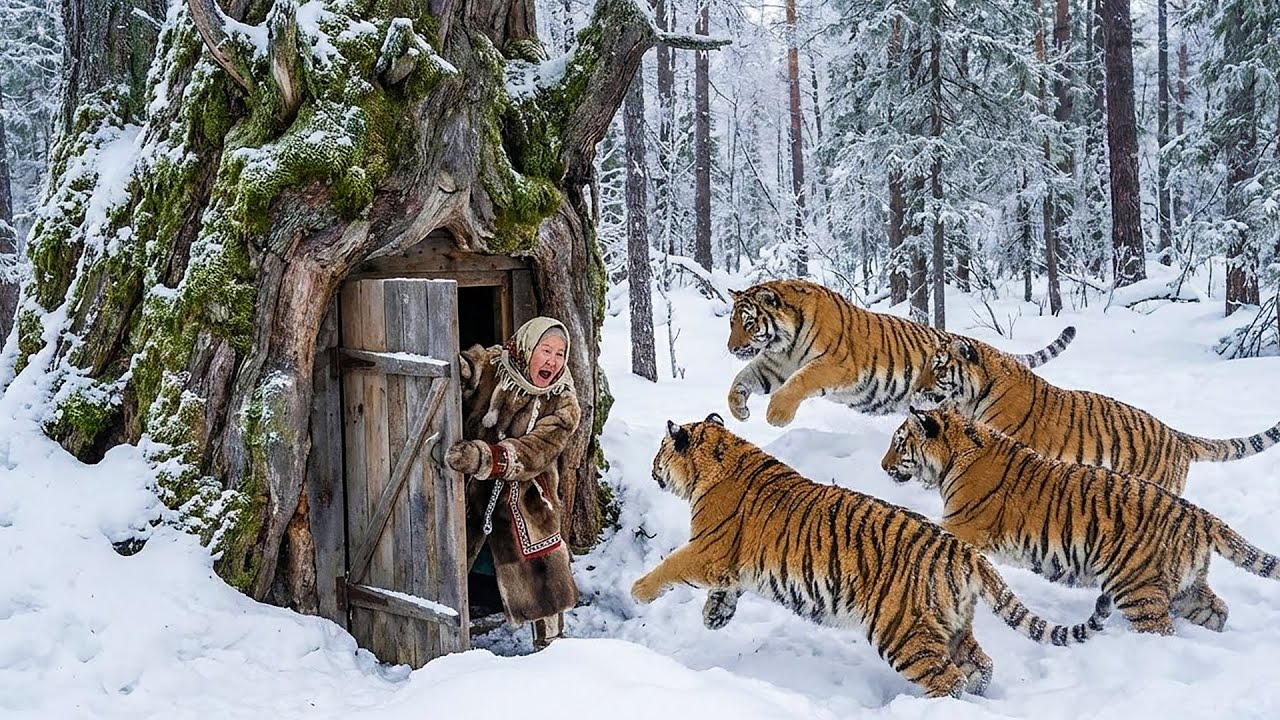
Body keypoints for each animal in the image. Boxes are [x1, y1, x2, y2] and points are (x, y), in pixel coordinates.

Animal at [631, 413, 1110, 699]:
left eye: (658, 451)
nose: (651, 468)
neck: (719, 457)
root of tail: (962, 551)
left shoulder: (707, 549)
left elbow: (671, 565)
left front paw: (637, 591)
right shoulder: (729, 564)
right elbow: (725, 591)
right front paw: (715, 616)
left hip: (902, 631)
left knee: (948, 680)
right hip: (952, 626)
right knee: (982, 664)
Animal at [726, 279, 1076, 427]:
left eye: (748, 322)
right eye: (732, 323)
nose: (731, 348)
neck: (783, 343)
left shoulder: (836, 365)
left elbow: (800, 381)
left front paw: (777, 415)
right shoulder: (773, 365)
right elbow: (740, 380)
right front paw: (739, 411)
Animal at [882, 407, 1280, 635]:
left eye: (899, 443)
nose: (883, 467)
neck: (954, 455)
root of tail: (1196, 513)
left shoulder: (961, 525)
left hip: (1138, 589)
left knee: (1161, 629)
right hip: (1184, 587)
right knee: (1217, 610)